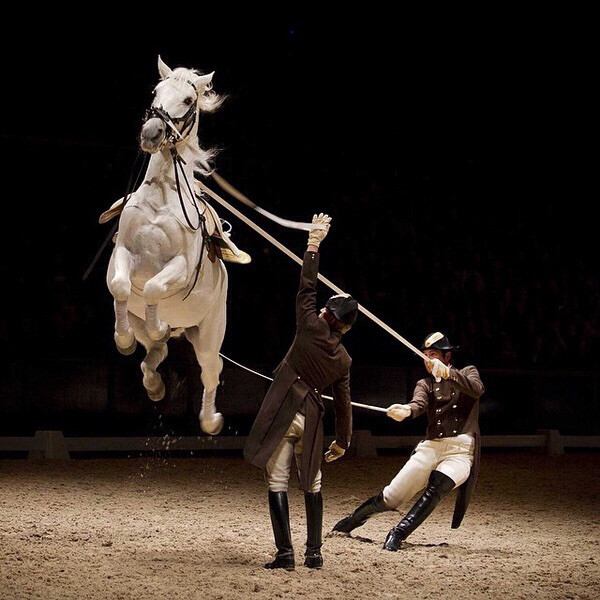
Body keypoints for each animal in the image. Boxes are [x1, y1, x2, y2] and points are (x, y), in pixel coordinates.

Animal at [106, 57, 229, 436]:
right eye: (155, 91)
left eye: (188, 100)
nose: (151, 133)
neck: (162, 194)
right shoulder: (122, 254)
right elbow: (121, 286)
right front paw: (123, 341)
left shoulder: (181, 267)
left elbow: (154, 286)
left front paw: (159, 322)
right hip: (141, 320)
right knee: (155, 351)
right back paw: (155, 383)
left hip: (208, 336)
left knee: (211, 372)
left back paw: (210, 420)